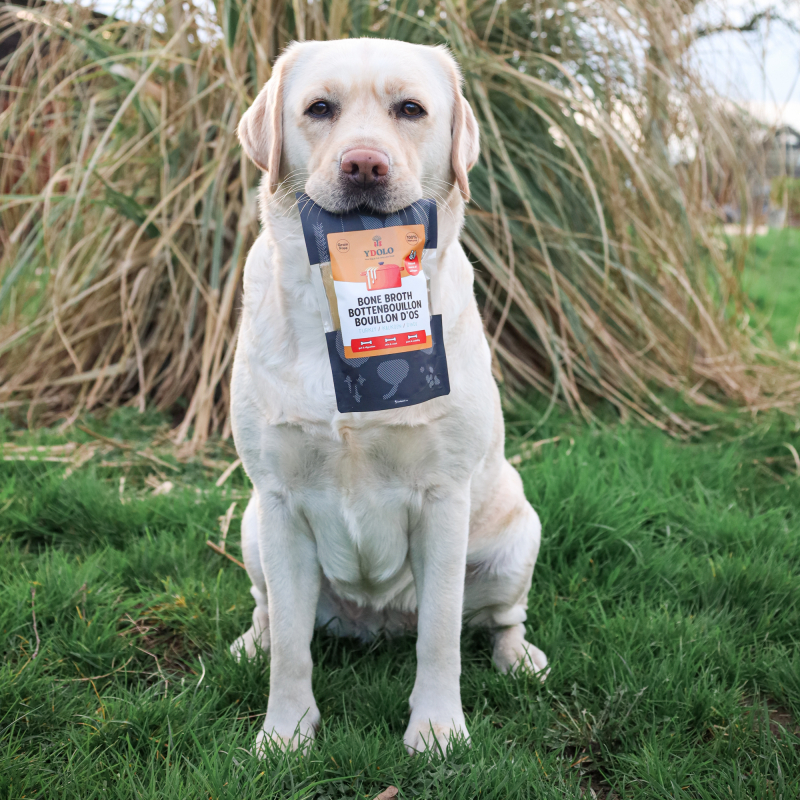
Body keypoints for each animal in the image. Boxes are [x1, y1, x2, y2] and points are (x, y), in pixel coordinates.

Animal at [228, 37, 548, 756]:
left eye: (410, 109)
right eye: (320, 108)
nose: (364, 164)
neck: (343, 304)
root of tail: (377, 623)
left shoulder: (444, 498)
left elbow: (441, 635)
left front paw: (437, 728)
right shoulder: (280, 501)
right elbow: (292, 651)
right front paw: (285, 733)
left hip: (518, 536)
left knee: (499, 619)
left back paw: (520, 659)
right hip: (252, 527)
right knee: (271, 614)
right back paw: (251, 642)